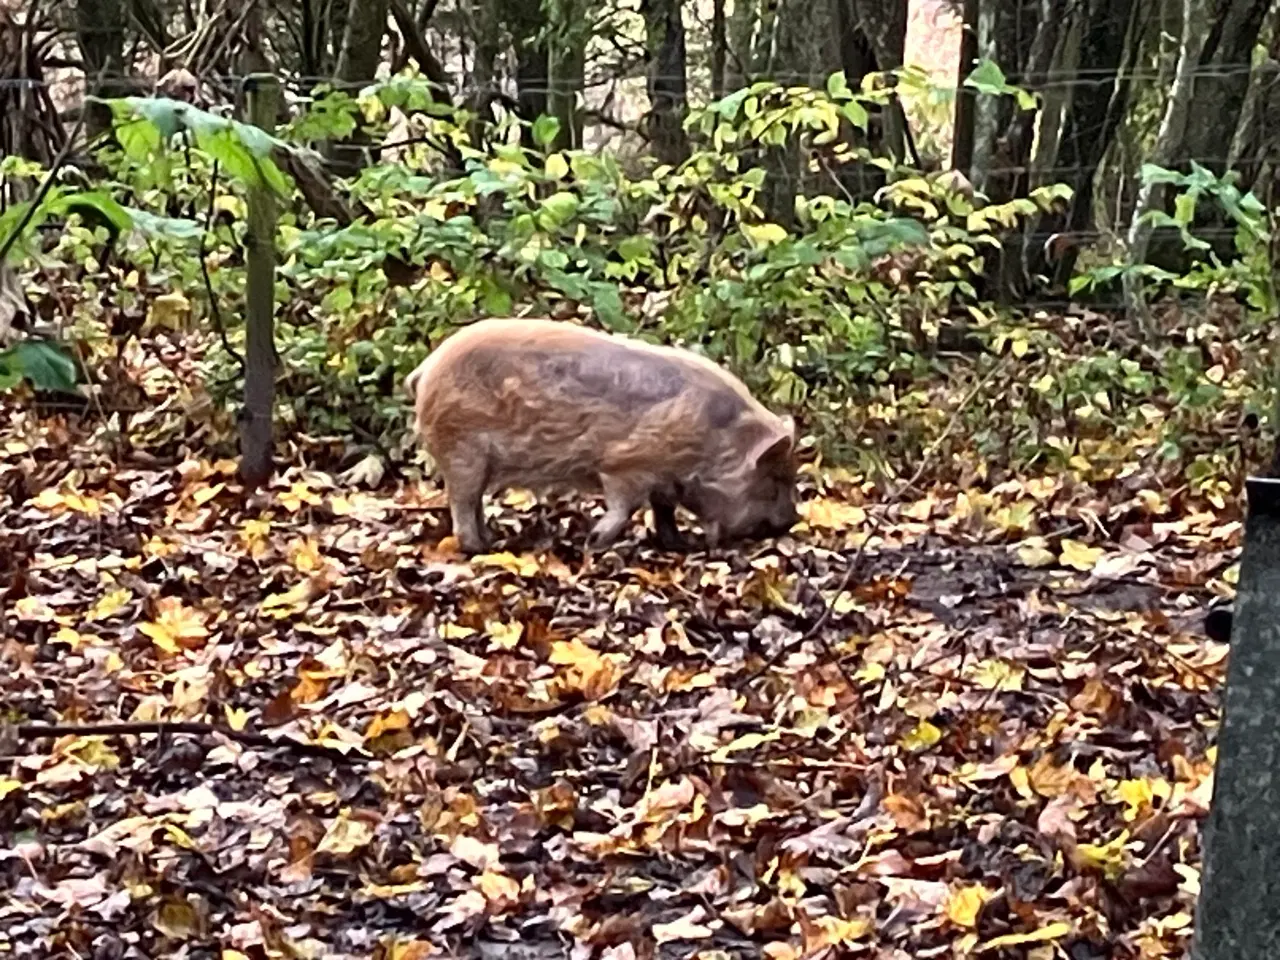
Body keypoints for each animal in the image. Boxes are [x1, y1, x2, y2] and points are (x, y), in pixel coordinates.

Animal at [401, 317, 798, 552]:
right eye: (772, 480)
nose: (791, 521)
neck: (713, 442)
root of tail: (425, 369)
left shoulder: (664, 481)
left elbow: (664, 511)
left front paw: (678, 544)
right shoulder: (625, 465)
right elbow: (626, 505)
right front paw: (593, 543)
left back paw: (493, 539)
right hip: (461, 449)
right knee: (462, 504)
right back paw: (483, 549)